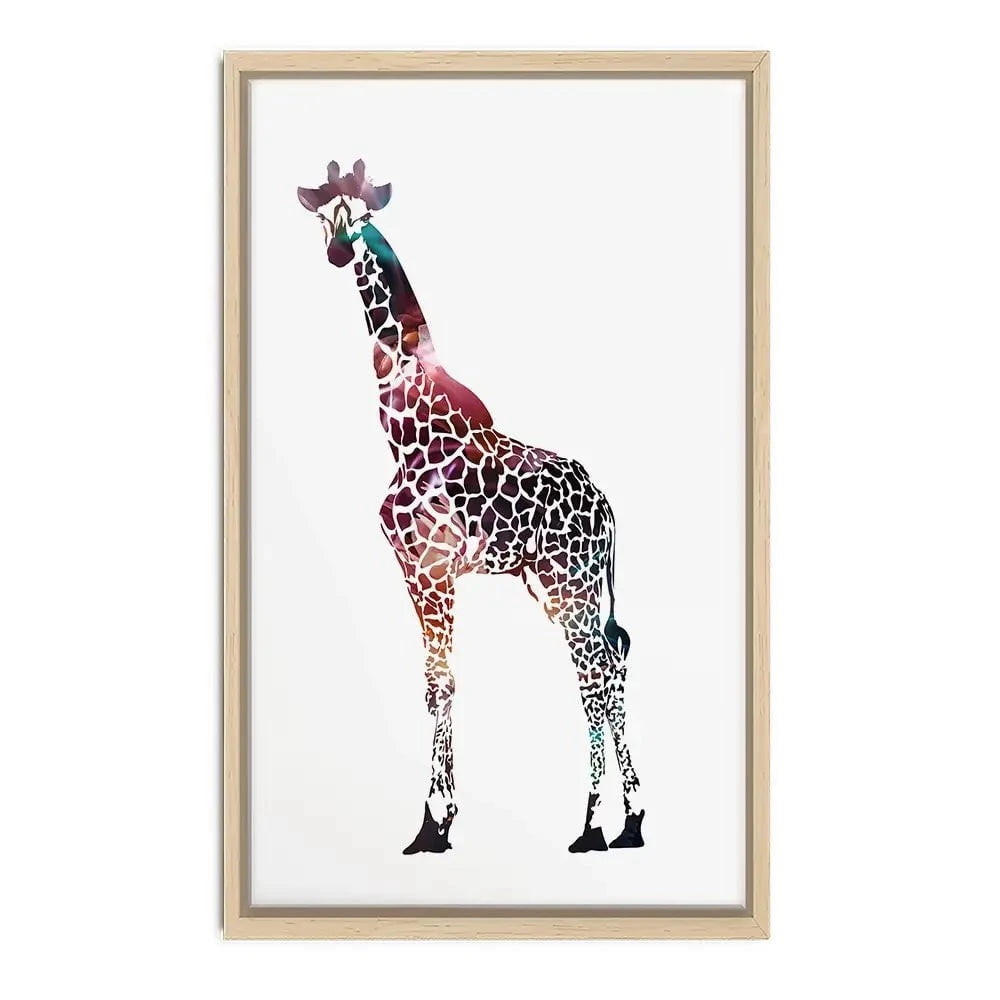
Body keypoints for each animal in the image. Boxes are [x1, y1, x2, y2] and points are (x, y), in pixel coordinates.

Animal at [297, 159, 645, 854]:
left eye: (364, 215)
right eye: (325, 214)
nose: (339, 251)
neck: (406, 428)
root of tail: (608, 508)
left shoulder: (434, 571)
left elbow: (443, 682)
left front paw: (435, 820)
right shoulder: (415, 572)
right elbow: (436, 683)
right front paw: (436, 821)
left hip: (572, 586)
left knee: (594, 679)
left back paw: (593, 825)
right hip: (560, 588)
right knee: (612, 668)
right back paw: (630, 821)